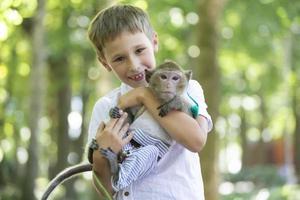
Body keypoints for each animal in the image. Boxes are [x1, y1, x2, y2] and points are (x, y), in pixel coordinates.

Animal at [42, 59, 197, 198]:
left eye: (175, 78)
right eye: (163, 77)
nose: (168, 84)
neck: (159, 99)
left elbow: (191, 119)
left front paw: (174, 103)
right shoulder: (140, 104)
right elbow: (131, 115)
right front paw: (115, 112)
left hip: (143, 152)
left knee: (150, 152)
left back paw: (115, 169)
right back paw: (93, 151)